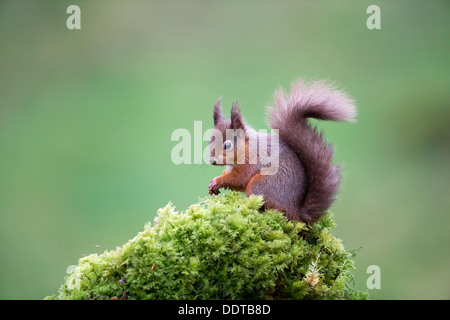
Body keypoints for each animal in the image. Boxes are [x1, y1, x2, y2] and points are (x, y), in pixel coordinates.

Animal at [209, 79, 356, 224]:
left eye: (227, 145)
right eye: (210, 140)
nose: (212, 161)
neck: (246, 147)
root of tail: (296, 213)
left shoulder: (250, 162)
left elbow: (239, 179)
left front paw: (218, 180)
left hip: (261, 184)